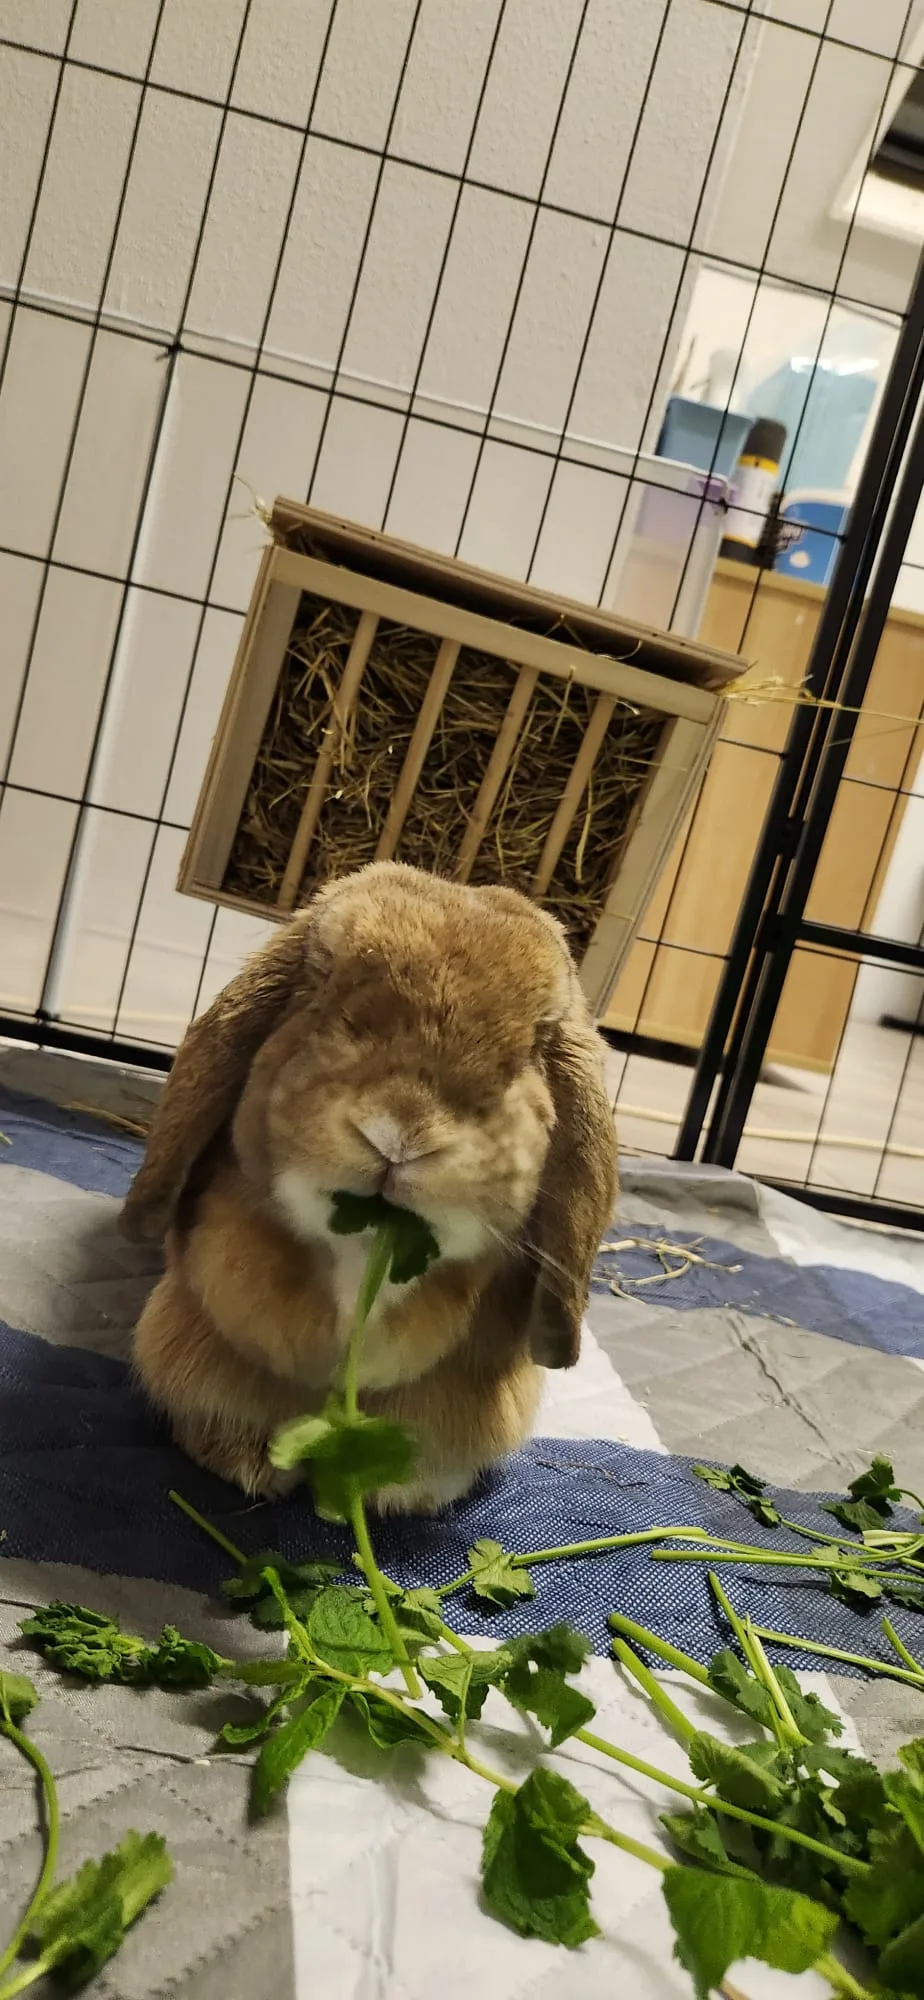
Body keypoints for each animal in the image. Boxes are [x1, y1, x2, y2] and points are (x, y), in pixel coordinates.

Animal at [124, 861, 618, 1510]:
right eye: (323, 981)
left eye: (537, 1041)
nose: (401, 1131)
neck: (364, 1261)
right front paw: (245, 1462)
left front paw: (398, 1489)